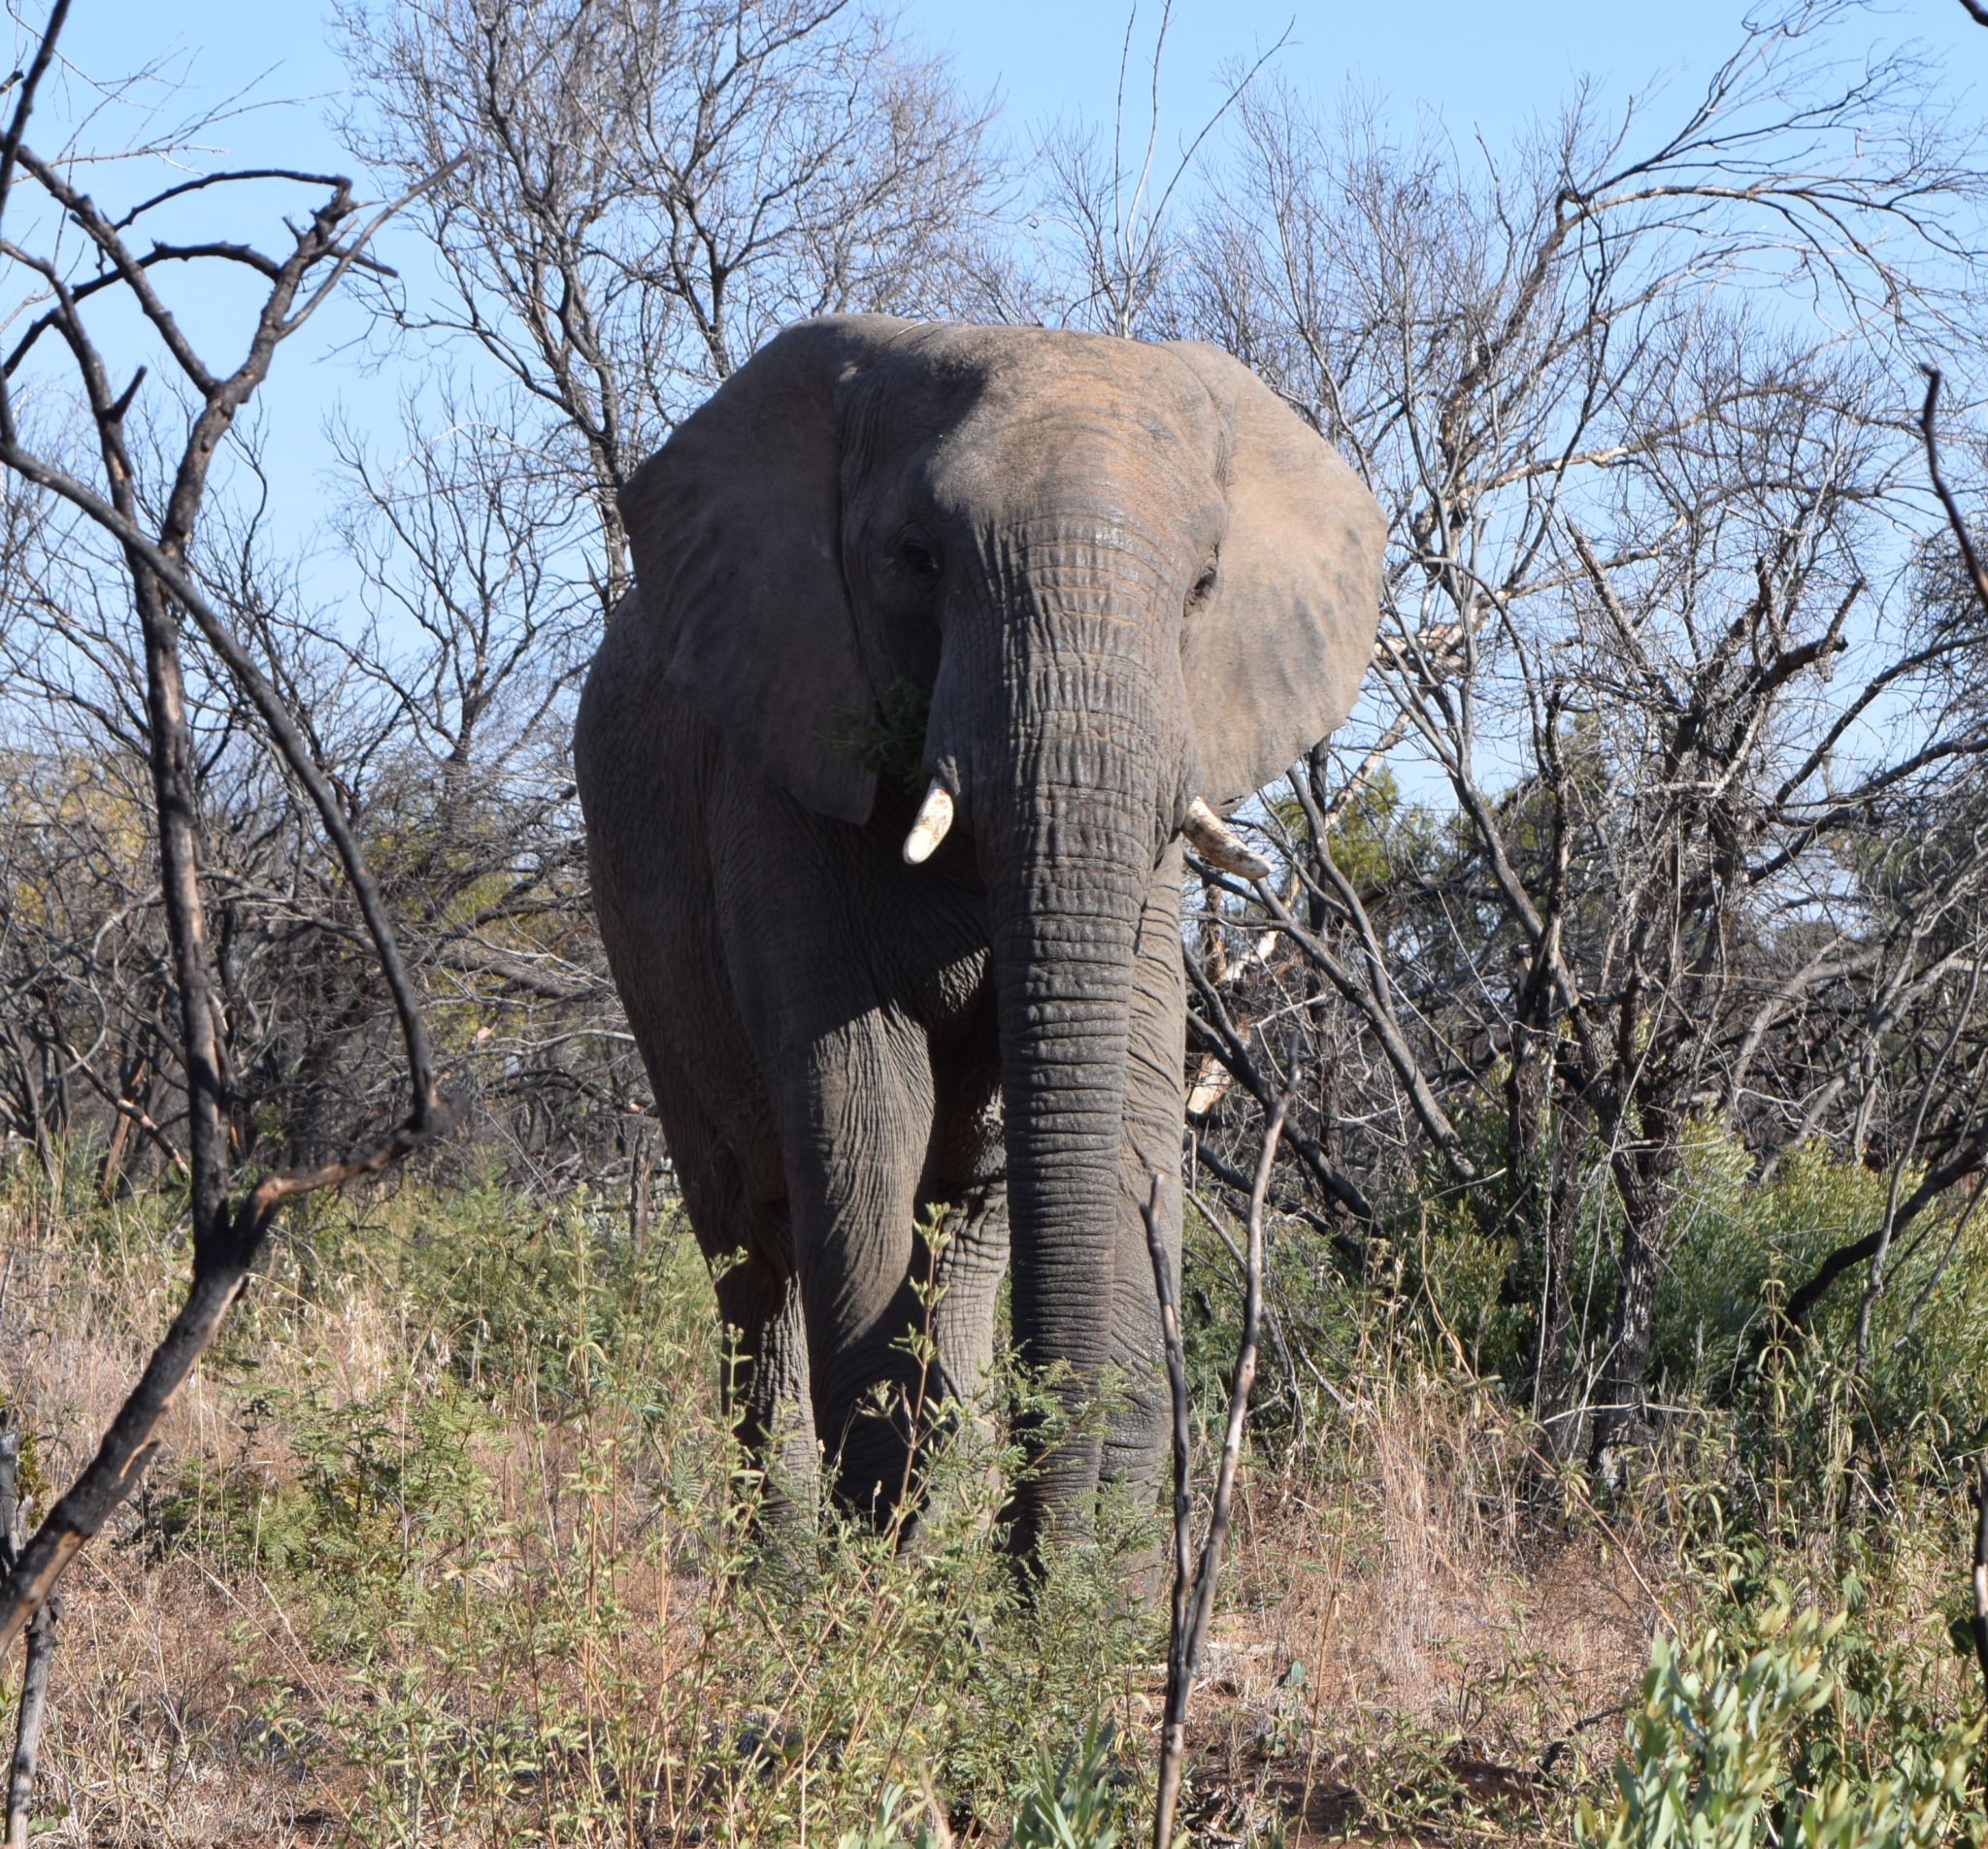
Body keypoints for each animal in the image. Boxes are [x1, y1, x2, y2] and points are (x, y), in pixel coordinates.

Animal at [574, 315, 1383, 1555]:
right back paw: (788, 1572)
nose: (1038, 1547)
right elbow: (863, 1107)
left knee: (955, 1228)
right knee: (754, 1246)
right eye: (917, 560)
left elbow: (1124, 1091)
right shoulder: (784, 777)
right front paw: (874, 1582)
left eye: (1202, 585)